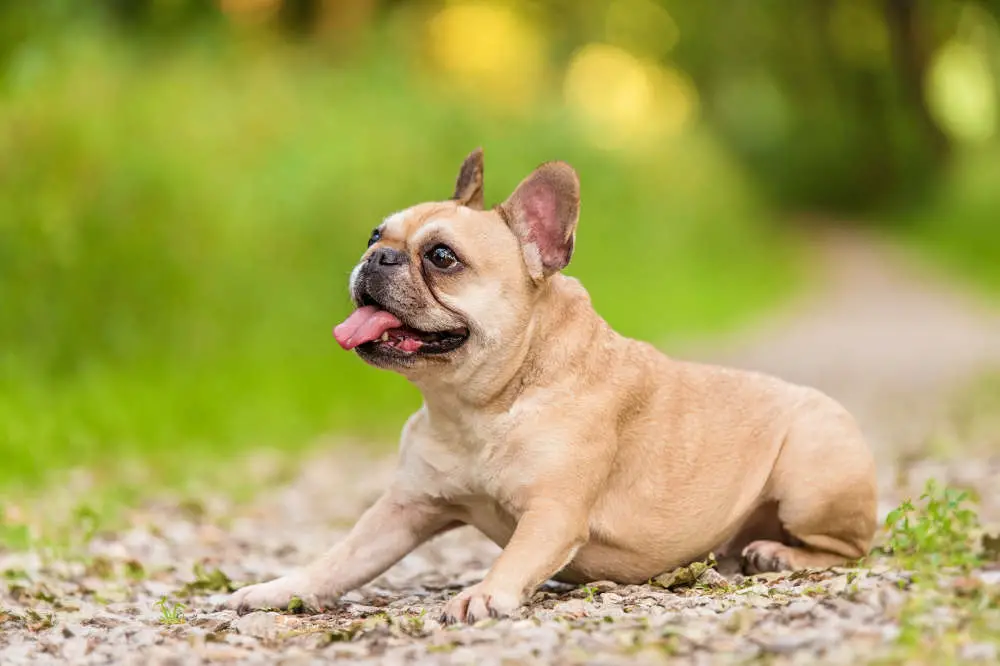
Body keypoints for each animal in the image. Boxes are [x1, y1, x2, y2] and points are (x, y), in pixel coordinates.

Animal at [229, 148, 876, 620]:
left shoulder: (553, 513)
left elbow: (516, 558)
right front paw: (280, 589)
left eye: (441, 257)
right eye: (373, 236)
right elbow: (343, 557)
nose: (378, 259)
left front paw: (483, 594)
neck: (477, 406)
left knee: (847, 550)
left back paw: (776, 553)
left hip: (810, 473)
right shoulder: (405, 508)